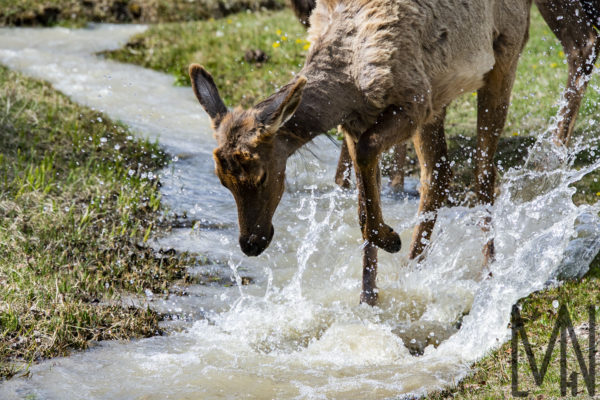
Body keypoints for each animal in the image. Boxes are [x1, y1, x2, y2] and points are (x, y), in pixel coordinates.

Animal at [191, 0, 528, 304]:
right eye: (223, 181)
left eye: (261, 176)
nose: (250, 243)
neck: (350, 86)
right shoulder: (357, 123)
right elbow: (363, 208)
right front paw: (368, 298)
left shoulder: (415, 100)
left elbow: (367, 162)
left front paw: (390, 239)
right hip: (441, 91)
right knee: (437, 172)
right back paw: (413, 268)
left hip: (503, 53)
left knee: (483, 171)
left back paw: (487, 272)